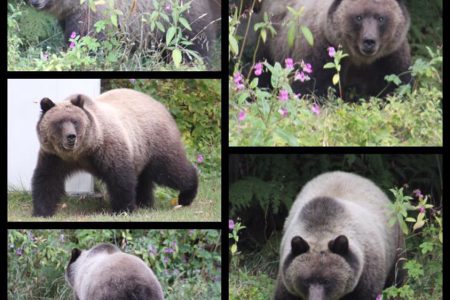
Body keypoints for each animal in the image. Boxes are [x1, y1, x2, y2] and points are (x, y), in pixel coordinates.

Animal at [31, 88, 197, 217]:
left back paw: (187, 195)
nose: (71, 137)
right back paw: (144, 203)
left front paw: (122, 209)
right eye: (59, 123)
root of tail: (161, 106)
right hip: (140, 152)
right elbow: (47, 179)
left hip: (155, 142)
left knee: (171, 170)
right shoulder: (54, 156)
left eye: (75, 121)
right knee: (144, 179)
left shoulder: (106, 147)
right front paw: (42, 211)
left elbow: (120, 178)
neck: (81, 152)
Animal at [251, 0, 414, 98]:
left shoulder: (389, 58)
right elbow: (311, 89)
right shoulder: (322, 52)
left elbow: (394, 88)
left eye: (381, 18)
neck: (359, 60)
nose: (369, 41)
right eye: (358, 17)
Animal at [272, 172, 406, 298]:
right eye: (305, 281)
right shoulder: (286, 278)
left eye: (327, 281)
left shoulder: (366, 275)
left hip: (395, 246)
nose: (316, 298)